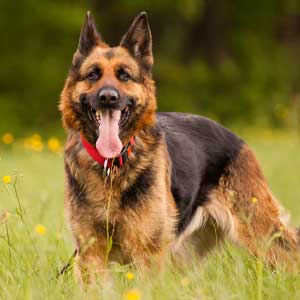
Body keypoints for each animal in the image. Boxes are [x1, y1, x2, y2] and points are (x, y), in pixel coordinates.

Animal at [59, 12, 298, 284]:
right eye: (92, 75)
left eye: (124, 76)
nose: (108, 97)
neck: (112, 165)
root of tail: (236, 138)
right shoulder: (92, 257)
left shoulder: (147, 255)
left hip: (262, 234)